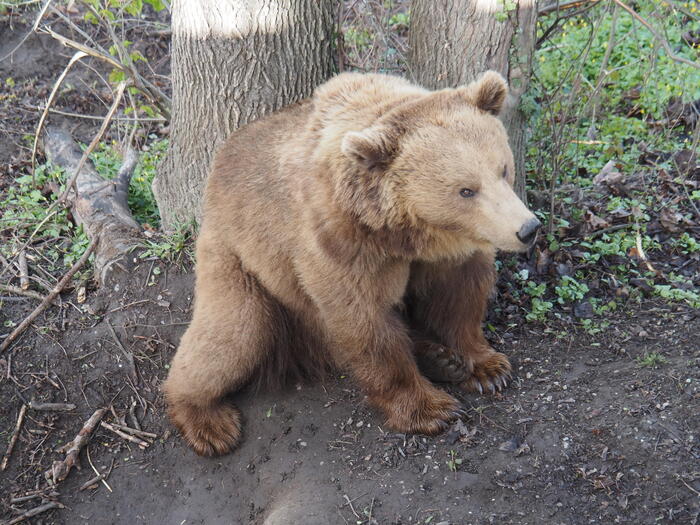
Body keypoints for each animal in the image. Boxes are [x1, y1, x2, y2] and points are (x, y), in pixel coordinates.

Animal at [163, 71, 541, 457]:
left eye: (503, 169)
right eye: (466, 190)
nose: (528, 228)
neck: (404, 234)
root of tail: (220, 161)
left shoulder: (448, 253)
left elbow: (459, 297)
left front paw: (488, 367)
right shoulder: (340, 244)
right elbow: (364, 320)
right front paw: (430, 409)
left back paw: (440, 359)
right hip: (238, 259)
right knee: (233, 334)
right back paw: (208, 421)